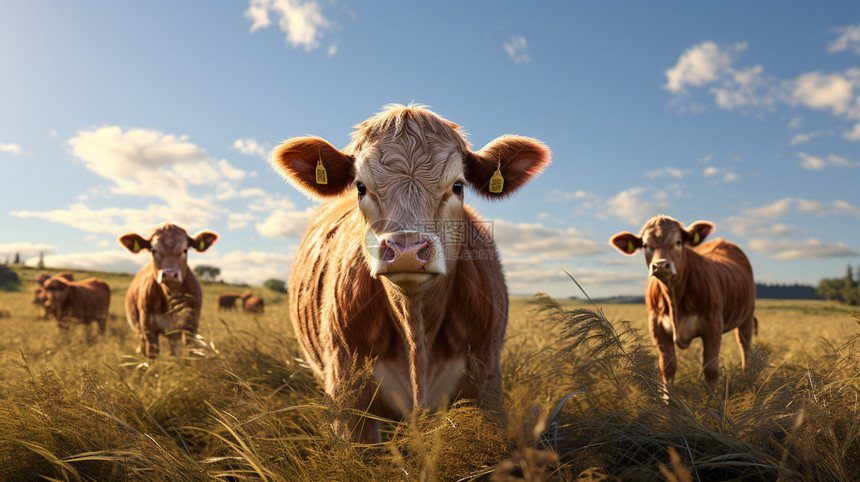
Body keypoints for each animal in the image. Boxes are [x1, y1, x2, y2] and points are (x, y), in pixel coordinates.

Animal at [608, 217, 756, 394]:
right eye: (644, 245)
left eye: (678, 241)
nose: (660, 265)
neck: (674, 299)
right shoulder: (656, 326)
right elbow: (668, 367)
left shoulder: (713, 325)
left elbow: (711, 369)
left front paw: (713, 401)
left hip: (747, 317)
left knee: (745, 351)